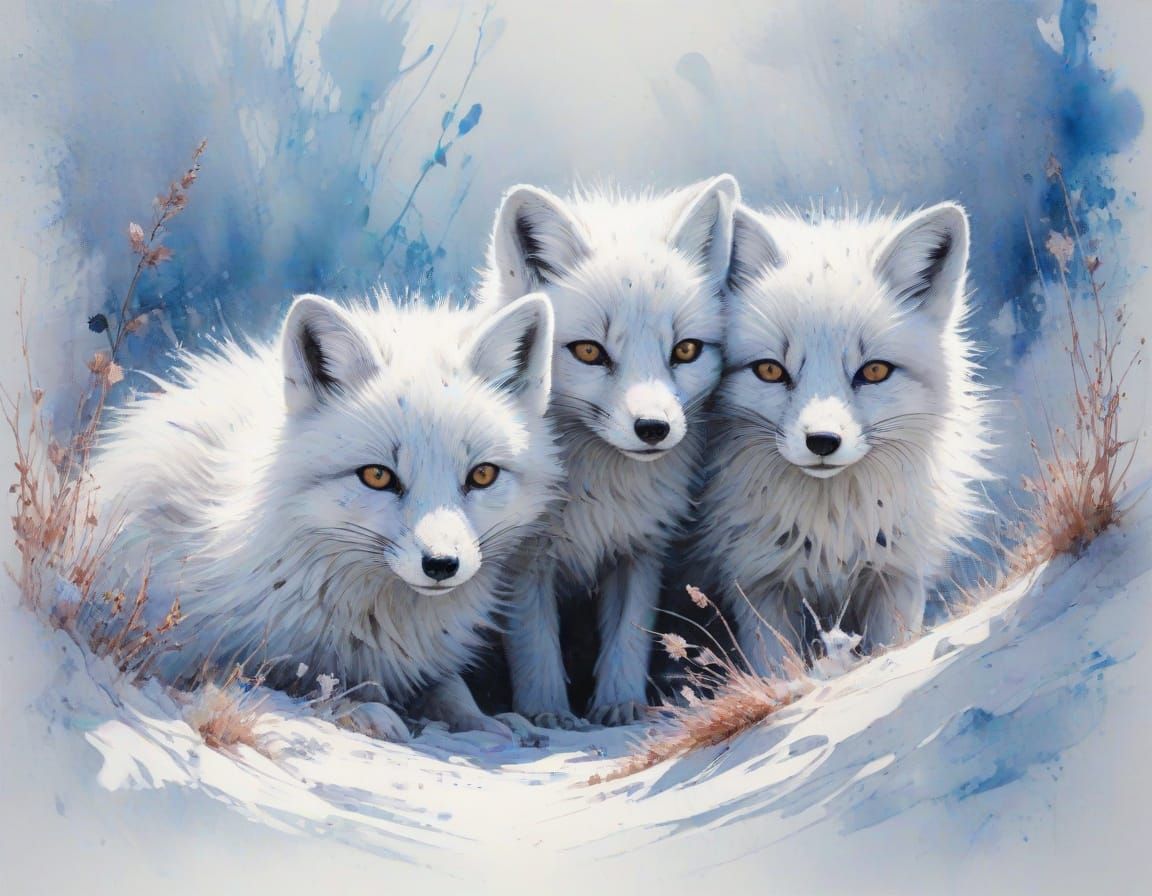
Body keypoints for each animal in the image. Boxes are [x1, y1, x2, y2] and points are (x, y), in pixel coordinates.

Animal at [90, 291, 563, 741]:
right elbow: (302, 684)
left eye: (482, 475)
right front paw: (368, 710)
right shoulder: (196, 657)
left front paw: (490, 720)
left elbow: (450, 687)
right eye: (377, 476)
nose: (442, 565)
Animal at [479, 175, 739, 727]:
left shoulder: (640, 547)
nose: (654, 428)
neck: (598, 492)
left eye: (685, 350)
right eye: (590, 352)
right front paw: (547, 714)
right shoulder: (524, 561)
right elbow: (535, 644)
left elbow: (629, 636)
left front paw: (621, 705)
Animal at [690, 202, 989, 675]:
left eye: (874, 371)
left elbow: (892, 649)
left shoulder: (896, 575)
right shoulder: (758, 585)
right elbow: (776, 670)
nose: (822, 441)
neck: (829, 530)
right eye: (771, 370)